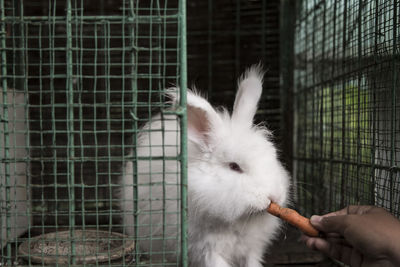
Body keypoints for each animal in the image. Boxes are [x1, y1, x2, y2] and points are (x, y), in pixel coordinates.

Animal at [120, 65, 290, 267]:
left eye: (273, 157)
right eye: (234, 166)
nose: (275, 196)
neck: (238, 221)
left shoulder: (252, 249)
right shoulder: (206, 249)